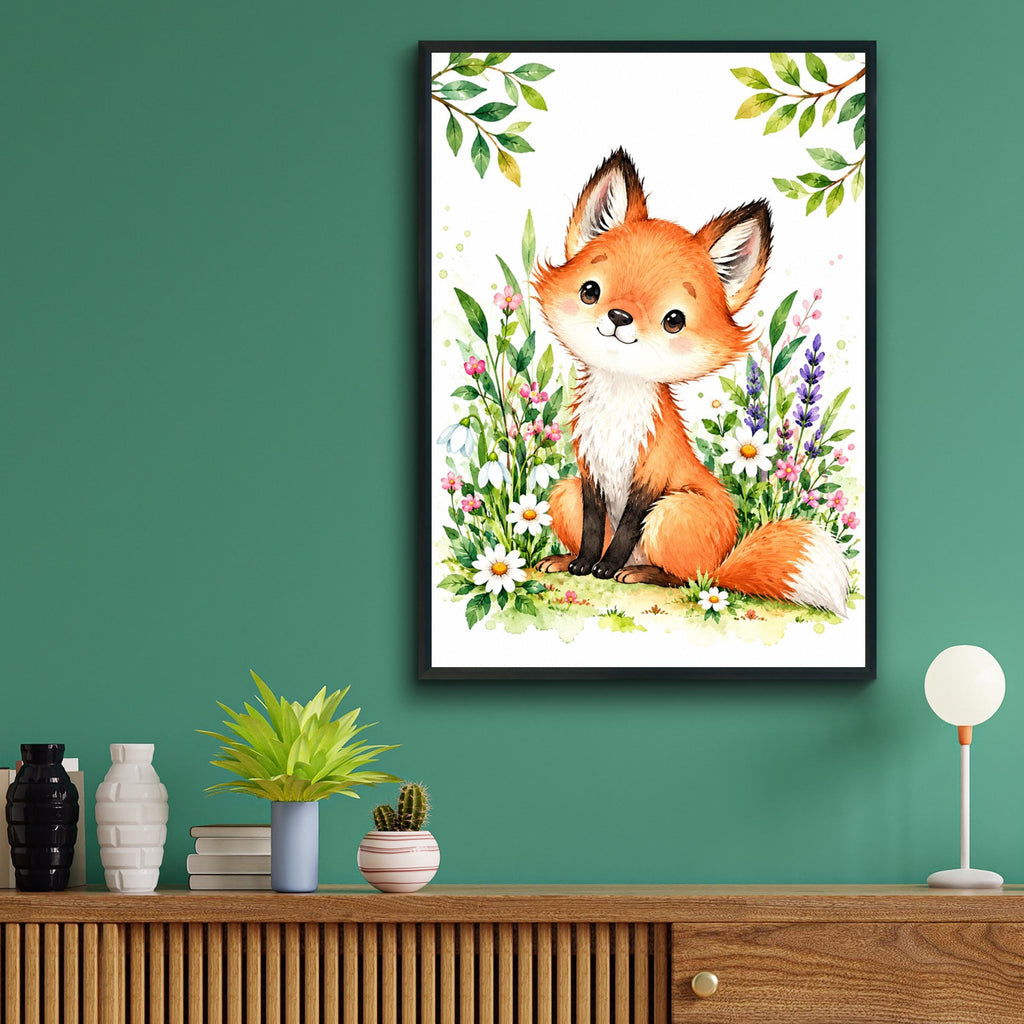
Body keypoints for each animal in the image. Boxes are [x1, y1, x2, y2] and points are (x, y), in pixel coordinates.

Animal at [532, 148, 850, 616]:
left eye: (674, 320)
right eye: (590, 291)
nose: (619, 317)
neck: (616, 415)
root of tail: (722, 563)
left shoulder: (653, 474)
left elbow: (625, 530)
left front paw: (605, 569)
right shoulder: (588, 473)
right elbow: (593, 530)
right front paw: (584, 565)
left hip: (674, 511)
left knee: (684, 577)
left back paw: (637, 572)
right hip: (564, 494)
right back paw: (563, 559)